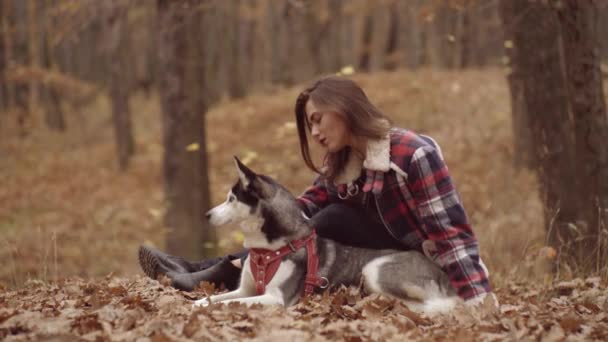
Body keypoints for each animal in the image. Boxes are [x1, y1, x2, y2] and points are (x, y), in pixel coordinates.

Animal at [195, 157, 460, 312]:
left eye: (231, 199)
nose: (206, 215)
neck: (267, 251)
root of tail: (442, 273)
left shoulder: (275, 298)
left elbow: (231, 303)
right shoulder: (247, 289)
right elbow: (218, 298)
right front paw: (198, 302)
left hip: (373, 270)